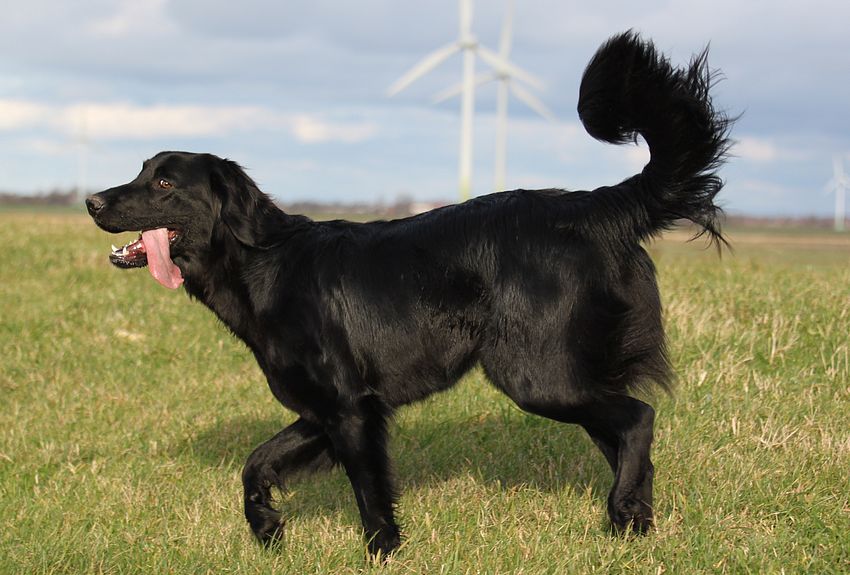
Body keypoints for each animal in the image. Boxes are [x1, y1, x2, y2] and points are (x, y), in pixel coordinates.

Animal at [86, 31, 732, 556]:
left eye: (164, 182)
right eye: (140, 169)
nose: (91, 201)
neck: (265, 265)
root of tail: (596, 207)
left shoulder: (351, 411)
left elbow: (370, 497)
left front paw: (383, 552)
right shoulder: (326, 410)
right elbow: (255, 464)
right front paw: (266, 525)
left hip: (540, 376)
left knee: (639, 418)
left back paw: (621, 514)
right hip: (570, 377)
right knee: (629, 442)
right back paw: (633, 526)